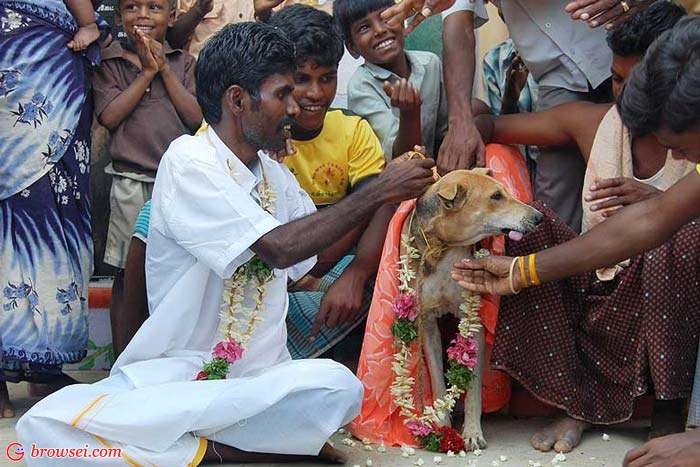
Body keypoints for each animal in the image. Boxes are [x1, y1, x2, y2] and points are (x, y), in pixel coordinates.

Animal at [402, 168, 542, 451]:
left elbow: (474, 386)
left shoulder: (472, 319)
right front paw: (442, 424)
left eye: (504, 191)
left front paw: (472, 433)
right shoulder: (427, 321)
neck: (445, 247)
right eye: (496, 196)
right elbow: (437, 376)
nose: (539, 217)